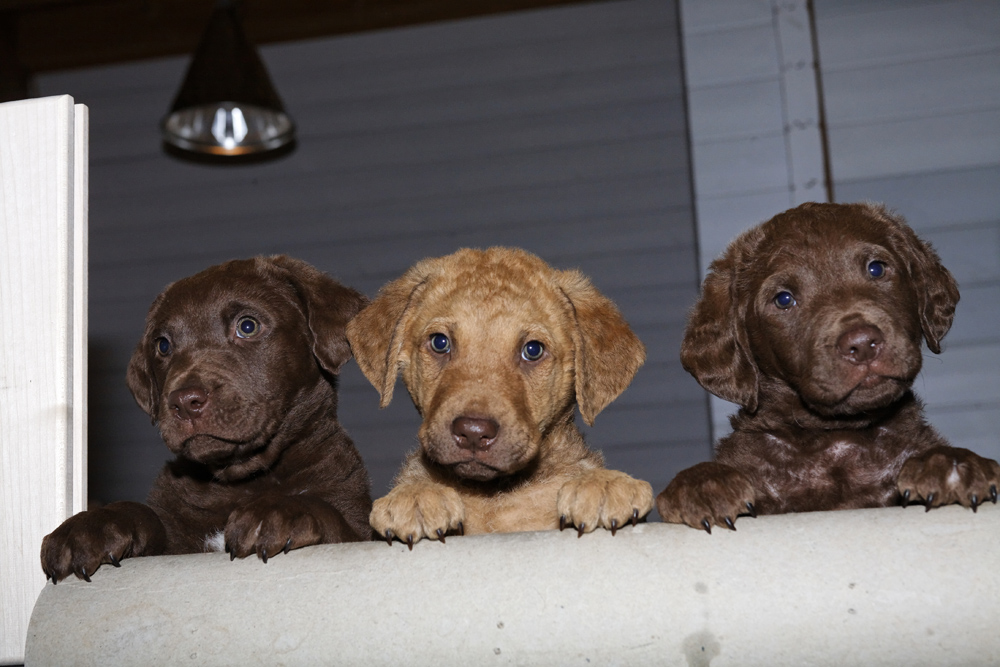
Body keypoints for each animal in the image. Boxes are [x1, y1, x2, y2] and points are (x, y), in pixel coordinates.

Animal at [39, 253, 376, 580]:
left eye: (248, 326)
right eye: (163, 345)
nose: (184, 402)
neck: (238, 479)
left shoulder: (356, 525)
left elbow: (327, 514)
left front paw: (280, 509)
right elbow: (142, 512)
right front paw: (90, 525)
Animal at [346, 247, 656, 548]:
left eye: (533, 349)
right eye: (440, 343)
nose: (473, 432)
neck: (493, 496)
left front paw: (603, 484)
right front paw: (416, 494)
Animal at [656, 201, 1000, 536]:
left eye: (876, 269)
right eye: (784, 299)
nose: (862, 344)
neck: (835, 435)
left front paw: (951, 465)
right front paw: (703, 484)